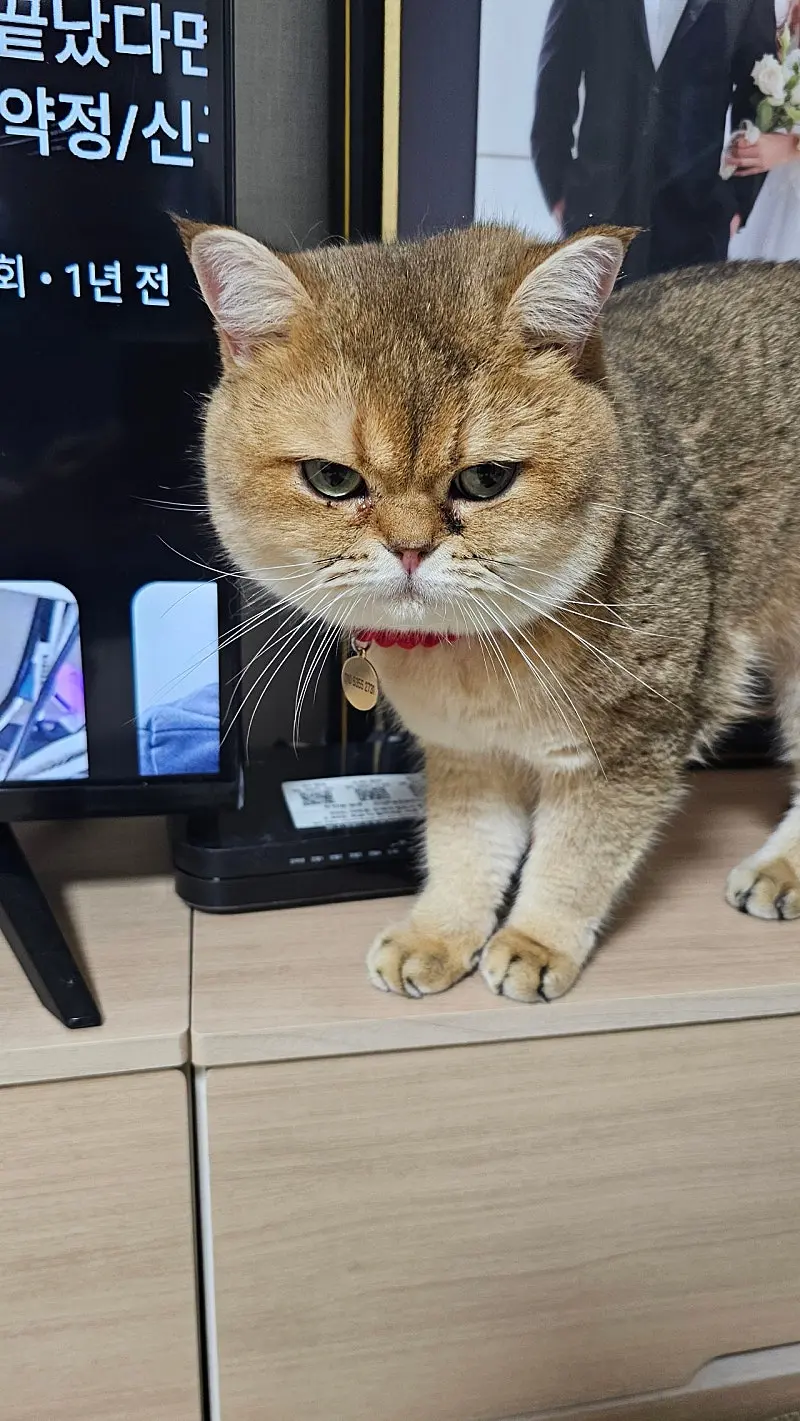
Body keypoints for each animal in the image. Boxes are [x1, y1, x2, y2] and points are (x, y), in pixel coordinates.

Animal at [180, 217, 800, 1003]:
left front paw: (536, 941)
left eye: (485, 480)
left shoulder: (633, 739)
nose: (410, 549)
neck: (473, 652)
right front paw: (440, 934)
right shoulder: (466, 752)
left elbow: (575, 858)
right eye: (332, 479)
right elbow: (466, 848)